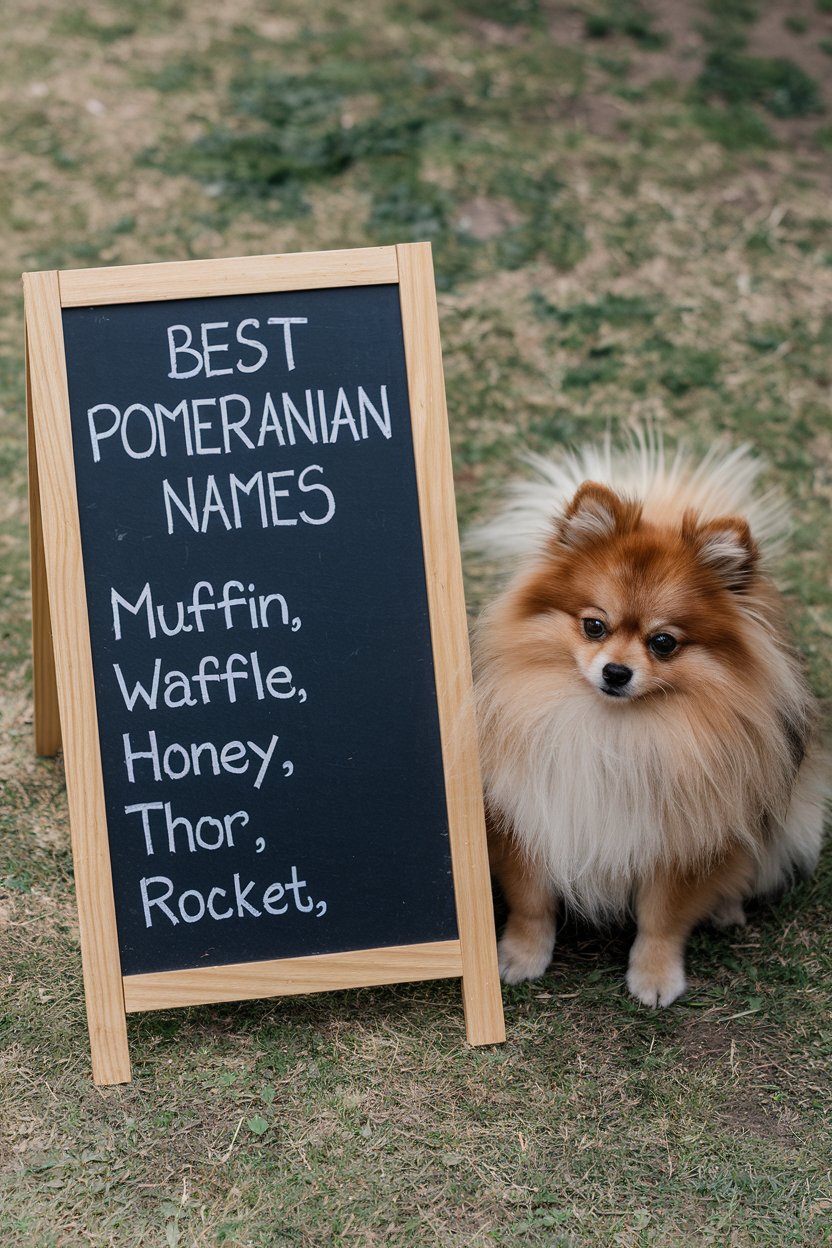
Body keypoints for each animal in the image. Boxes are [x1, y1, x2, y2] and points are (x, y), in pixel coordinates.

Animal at [471, 429, 828, 1003]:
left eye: (663, 642)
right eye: (594, 626)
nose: (616, 672)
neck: (615, 732)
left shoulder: (681, 841)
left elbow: (662, 918)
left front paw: (655, 976)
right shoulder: (532, 819)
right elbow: (532, 903)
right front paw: (521, 956)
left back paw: (727, 907)